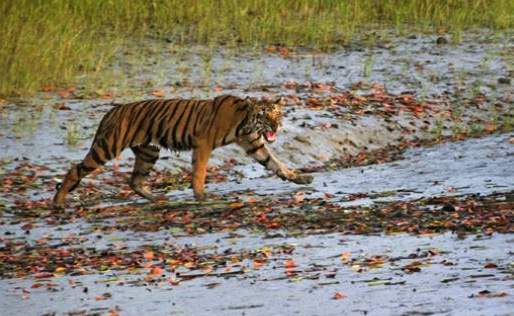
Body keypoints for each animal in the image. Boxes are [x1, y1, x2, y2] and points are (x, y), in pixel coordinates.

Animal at [54, 94, 314, 207]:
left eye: (277, 114)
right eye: (265, 115)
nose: (275, 126)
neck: (246, 123)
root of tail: (112, 110)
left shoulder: (254, 144)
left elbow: (275, 162)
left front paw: (300, 178)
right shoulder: (203, 143)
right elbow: (199, 171)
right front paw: (201, 196)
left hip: (149, 152)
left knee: (135, 180)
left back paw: (157, 198)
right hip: (108, 146)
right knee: (76, 169)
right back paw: (58, 202)